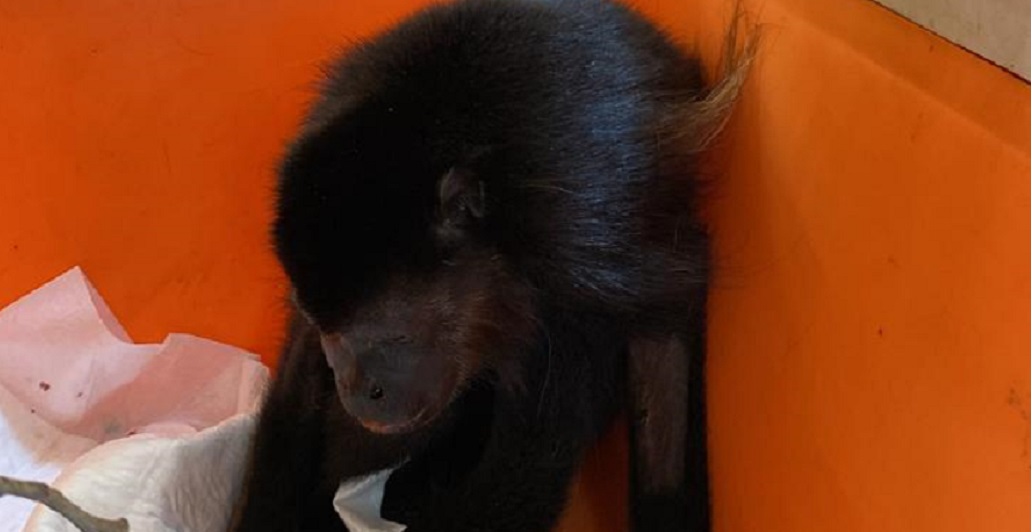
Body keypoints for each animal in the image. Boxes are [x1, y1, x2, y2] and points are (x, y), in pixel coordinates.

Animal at [231, 0, 752, 531]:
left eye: (393, 333)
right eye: (330, 335)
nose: (356, 392)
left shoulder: (579, 233)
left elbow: (647, 352)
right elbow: (297, 381)